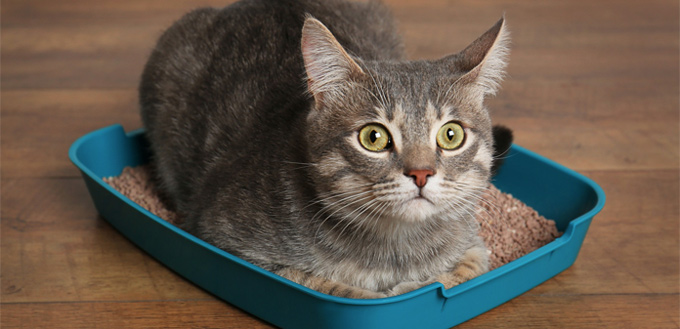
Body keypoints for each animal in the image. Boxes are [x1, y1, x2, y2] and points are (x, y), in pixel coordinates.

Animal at [138, 0, 510, 298]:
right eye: (373, 137)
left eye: (451, 135)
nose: (421, 173)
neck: (396, 247)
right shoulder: (221, 236)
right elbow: (321, 283)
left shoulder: (473, 243)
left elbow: (466, 269)